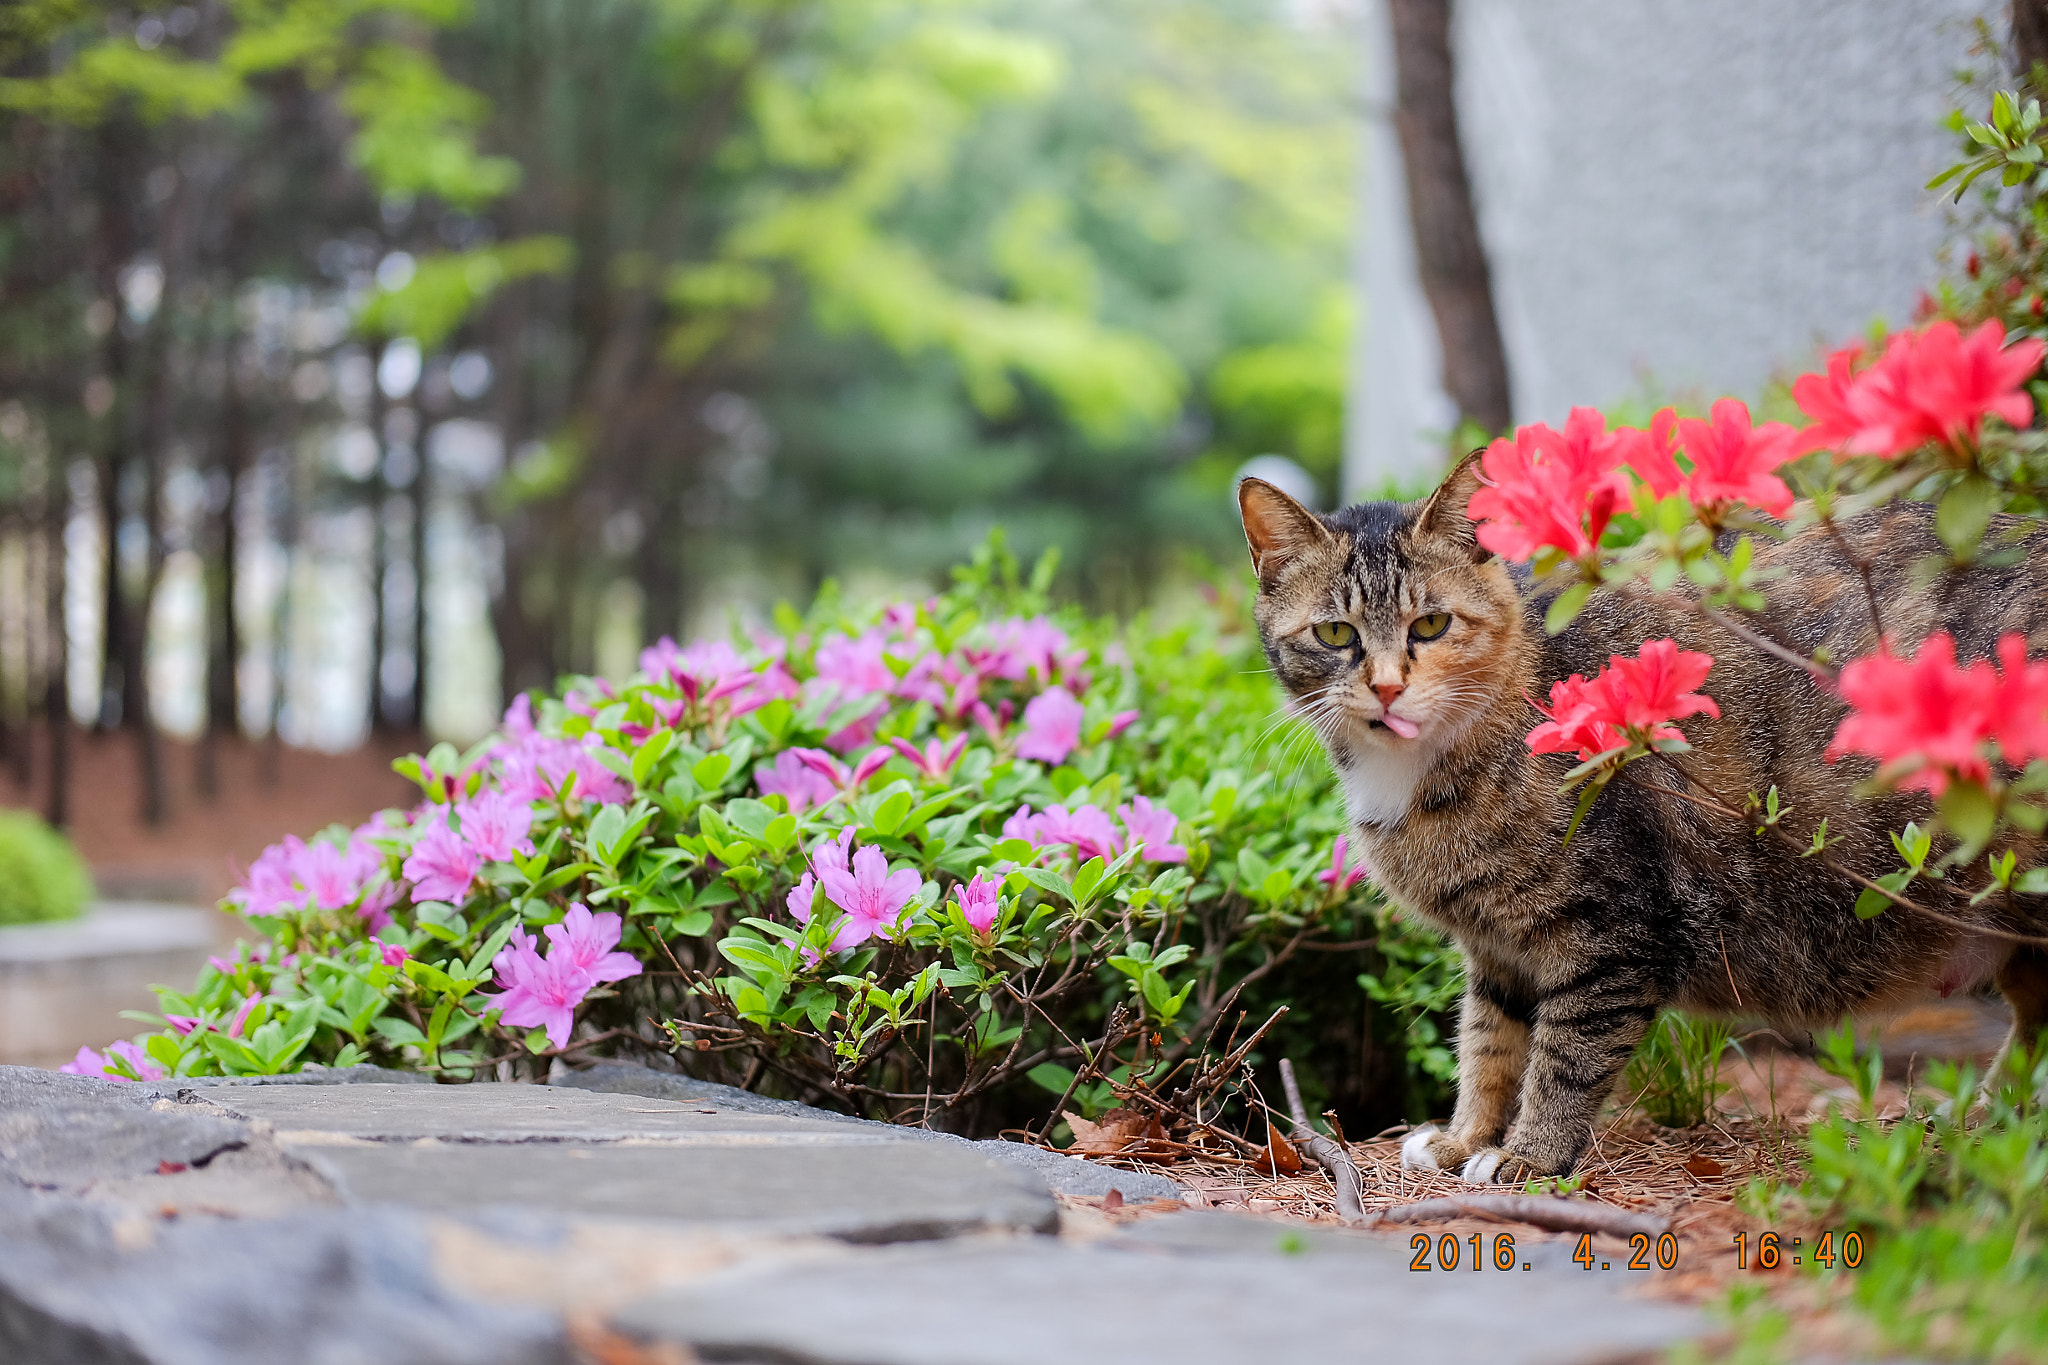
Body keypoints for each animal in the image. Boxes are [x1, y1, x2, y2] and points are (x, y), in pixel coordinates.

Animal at [1236, 462, 2048, 1186]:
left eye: (1430, 624)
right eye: (1335, 634)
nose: (1386, 688)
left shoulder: (1612, 931)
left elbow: (1565, 1056)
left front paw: (1528, 1156)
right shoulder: (1496, 949)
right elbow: (1488, 1043)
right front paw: (1466, 1135)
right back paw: (1987, 1124)